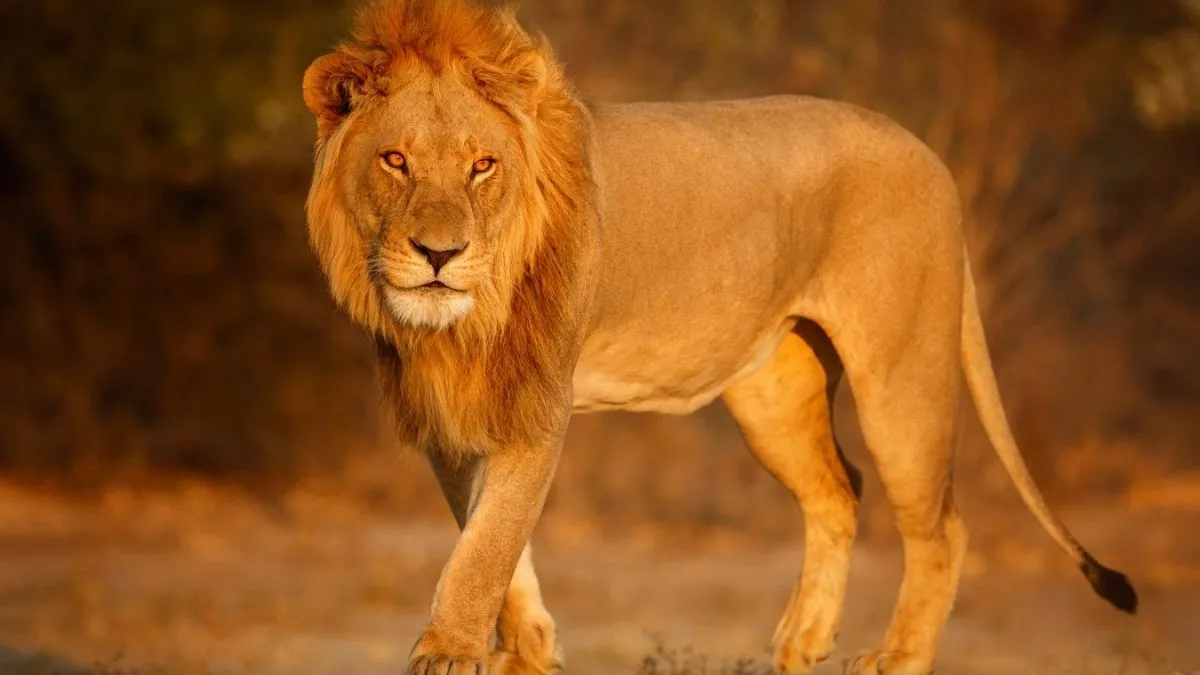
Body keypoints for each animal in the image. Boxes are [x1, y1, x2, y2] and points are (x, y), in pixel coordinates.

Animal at [300, 1, 1138, 673]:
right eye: (395, 160)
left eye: (482, 166)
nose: (440, 255)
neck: (460, 326)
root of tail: (929, 153)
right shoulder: (447, 414)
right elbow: (490, 541)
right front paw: (528, 650)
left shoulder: (537, 402)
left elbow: (487, 543)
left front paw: (449, 650)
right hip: (774, 392)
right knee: (840, 487)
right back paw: (803, 639)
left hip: (902, 372)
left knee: (941, 525)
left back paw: (897, 656)